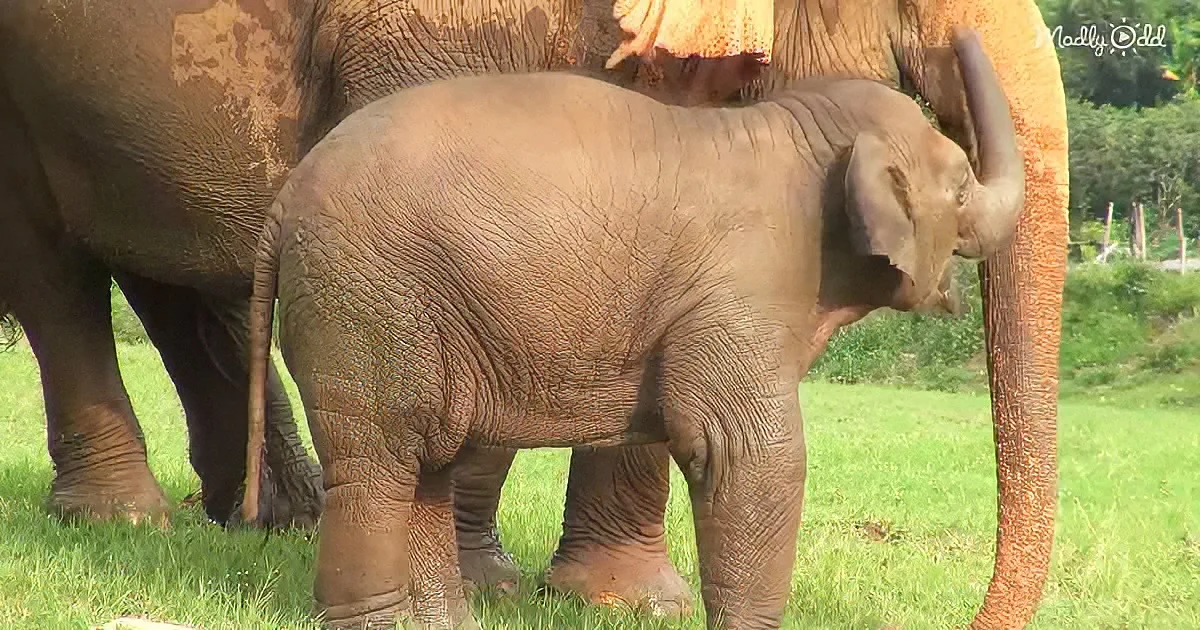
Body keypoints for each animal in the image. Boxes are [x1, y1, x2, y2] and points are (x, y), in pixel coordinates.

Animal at [0, 0, 1067, 625]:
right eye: (960, 185)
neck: (792, 135)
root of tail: (288, 209)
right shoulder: (740, 286)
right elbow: (744, 450)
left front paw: (622, 604)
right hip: (368, 301)